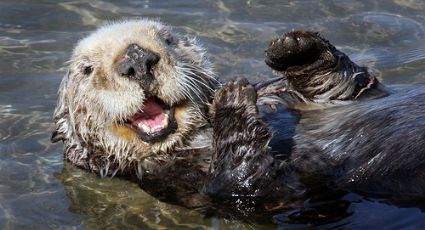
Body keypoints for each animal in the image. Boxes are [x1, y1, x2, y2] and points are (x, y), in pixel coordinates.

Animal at [51, 18, 424, 211]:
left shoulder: (300, 95)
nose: (138, 60)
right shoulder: (183, 184)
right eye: (86, 69)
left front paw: (292, 46)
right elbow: (250, 186)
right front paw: (230, 100)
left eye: (168, 39)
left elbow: (344, 83)